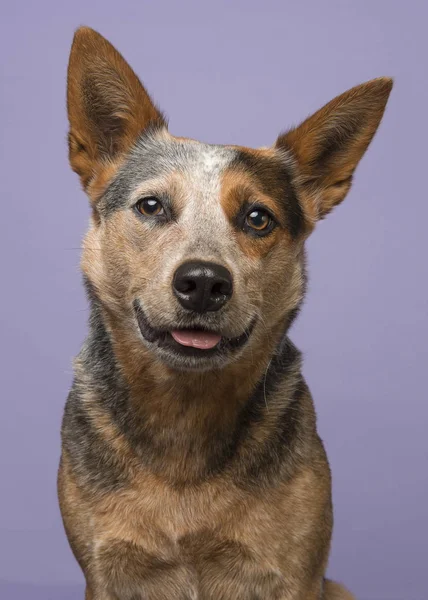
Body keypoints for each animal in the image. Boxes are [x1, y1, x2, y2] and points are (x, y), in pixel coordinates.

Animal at [58, 25, 392, 596]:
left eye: (258, 218)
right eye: (152, 206)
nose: (203, 282)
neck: (184, 419)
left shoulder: (296, 573)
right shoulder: (104, 572)